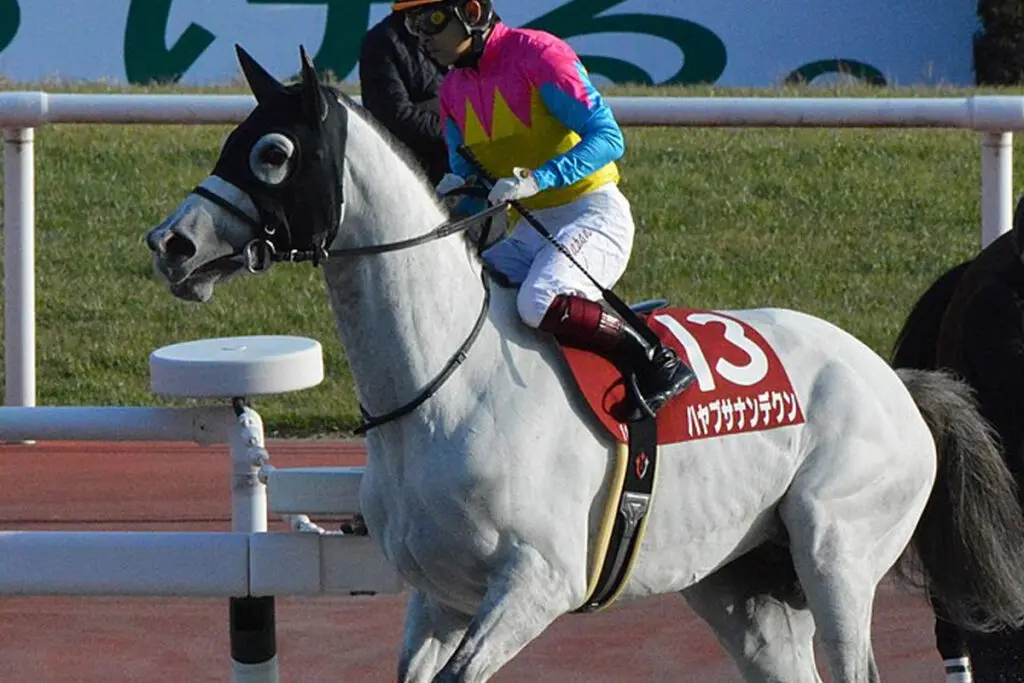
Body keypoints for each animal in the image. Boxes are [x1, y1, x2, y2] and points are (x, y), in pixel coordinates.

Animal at [144, 46, 1024, 682]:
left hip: (837, 549)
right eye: (230, 139)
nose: (171, 243)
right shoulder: (438, 596)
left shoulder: (539, 580)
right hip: (744, 588)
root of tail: (897, 383)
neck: (444, 385)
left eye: (272, 151)